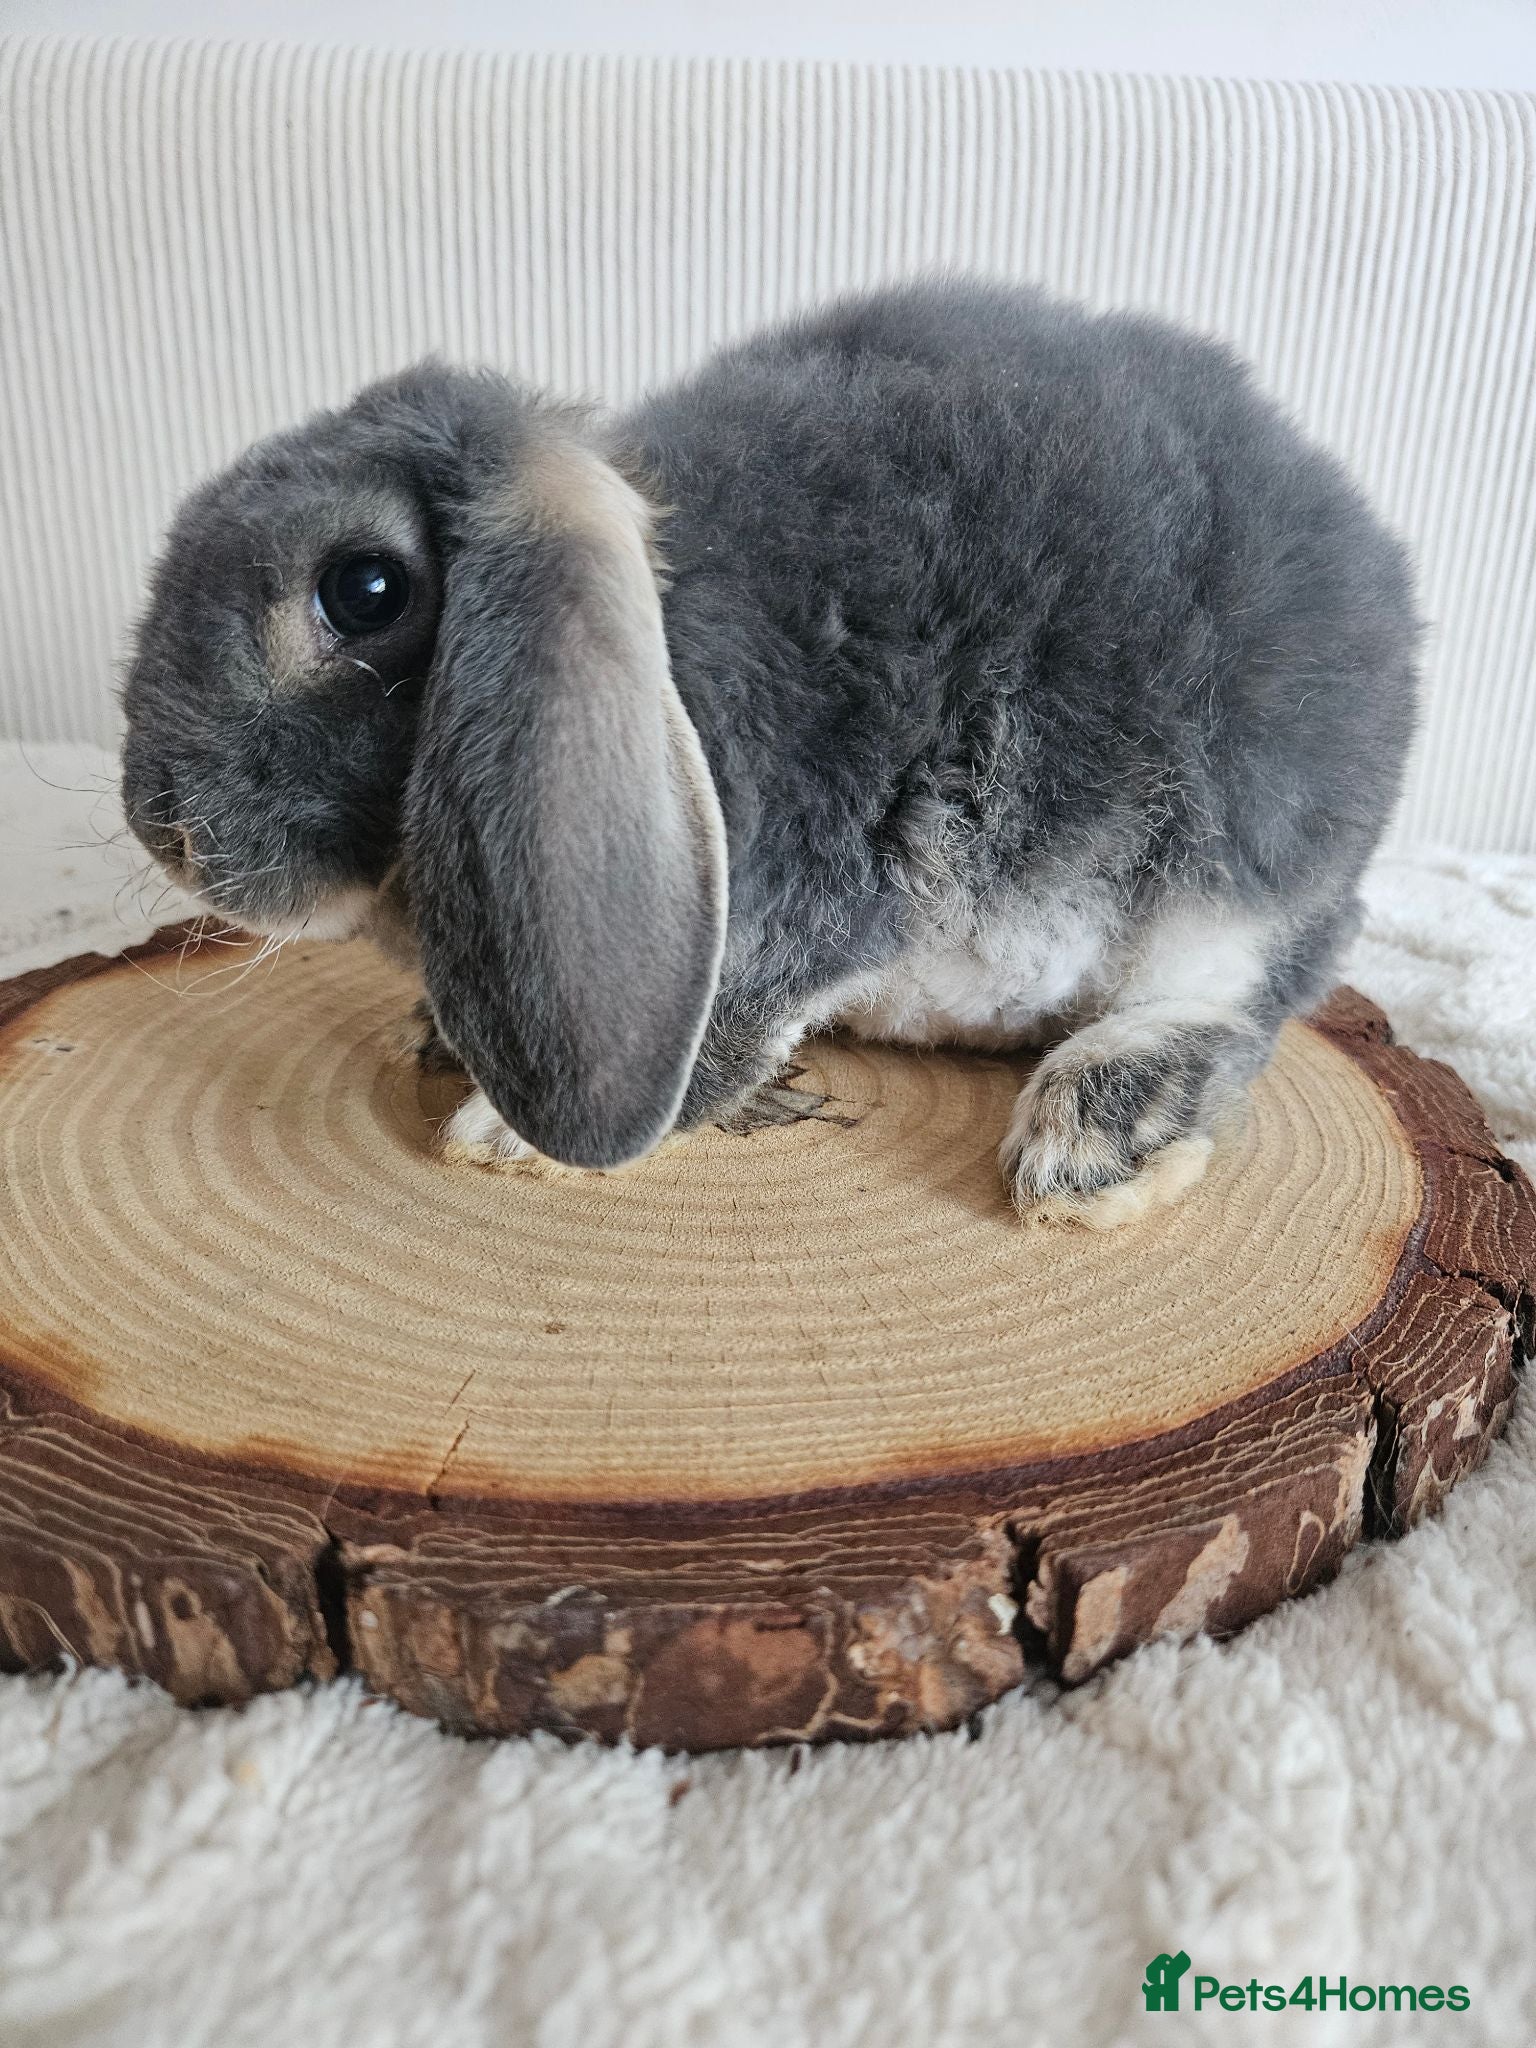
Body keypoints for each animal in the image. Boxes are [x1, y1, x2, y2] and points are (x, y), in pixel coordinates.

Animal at [121, 277, 1418, 1226]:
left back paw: (1092, 1140)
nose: (162, 830)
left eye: (365, 588)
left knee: (1244, 989)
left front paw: (502, 1134)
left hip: (1234, 855)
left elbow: (719, 1039)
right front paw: (442, 1037)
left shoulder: (796, 904)